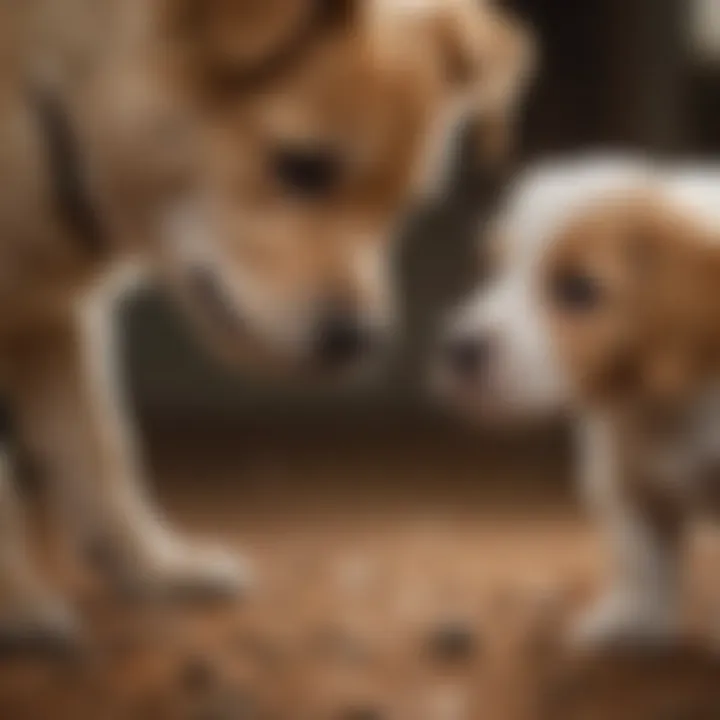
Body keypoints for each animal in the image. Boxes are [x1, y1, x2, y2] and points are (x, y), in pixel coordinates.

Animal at [0, 1, 536, 648]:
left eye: (403, 207)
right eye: (303, 167)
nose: (361, 341)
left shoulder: (58, 312)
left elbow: (100, 449)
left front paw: (155, 569)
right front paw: (16, 603)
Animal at [436, 158, 720, 648]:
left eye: (578, 289)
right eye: (491, 270)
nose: (459, 350)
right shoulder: (620, 472)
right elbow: (639, 555)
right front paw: (632, 622)